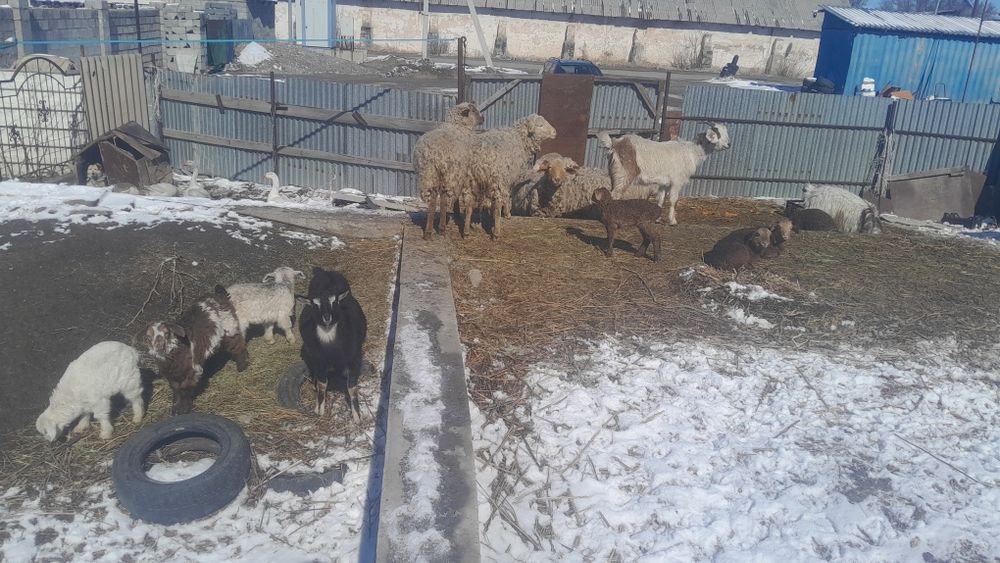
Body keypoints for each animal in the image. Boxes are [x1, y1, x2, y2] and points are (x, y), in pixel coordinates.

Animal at [143, 285, 249, 415]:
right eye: (148, 337)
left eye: (167, 333)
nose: (159, 346)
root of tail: (218, 295)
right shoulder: (173, 376)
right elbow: (176, 390)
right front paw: (175, 408)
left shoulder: (191, 371)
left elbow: (184, 391)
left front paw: (183, 410)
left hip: (229, 330)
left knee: (238, 345)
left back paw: (242, 366)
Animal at [299, 267, 368, 421]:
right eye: (315, 304)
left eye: (335, 301)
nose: (327, 318)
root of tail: (326, 272)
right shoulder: (318, 361)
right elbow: (322, 385)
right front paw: (319, 408)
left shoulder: (355, 359)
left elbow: (352, 388)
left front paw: (357, 416)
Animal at [597, 123, 731, 226]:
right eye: (718, 134)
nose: (729, 145)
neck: (691, 152)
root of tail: (615, 144)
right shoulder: (677, 181)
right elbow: (673, 200)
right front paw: (672, 221)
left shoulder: (663, 183)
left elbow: (660, 200)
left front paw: (657, 219)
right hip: (624, 175)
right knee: (615, 194)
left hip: (614, 173)